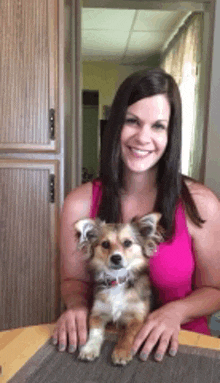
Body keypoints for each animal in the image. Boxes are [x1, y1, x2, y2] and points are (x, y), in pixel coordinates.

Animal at [75, 213, 162, 366]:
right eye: (105, 244)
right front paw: (90, 348)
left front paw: (121, 352)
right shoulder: (97, 314)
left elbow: (128, 334)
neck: (118, 280)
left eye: (127, 243)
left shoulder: (138, 318)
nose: (116, 258)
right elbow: (95, 332)